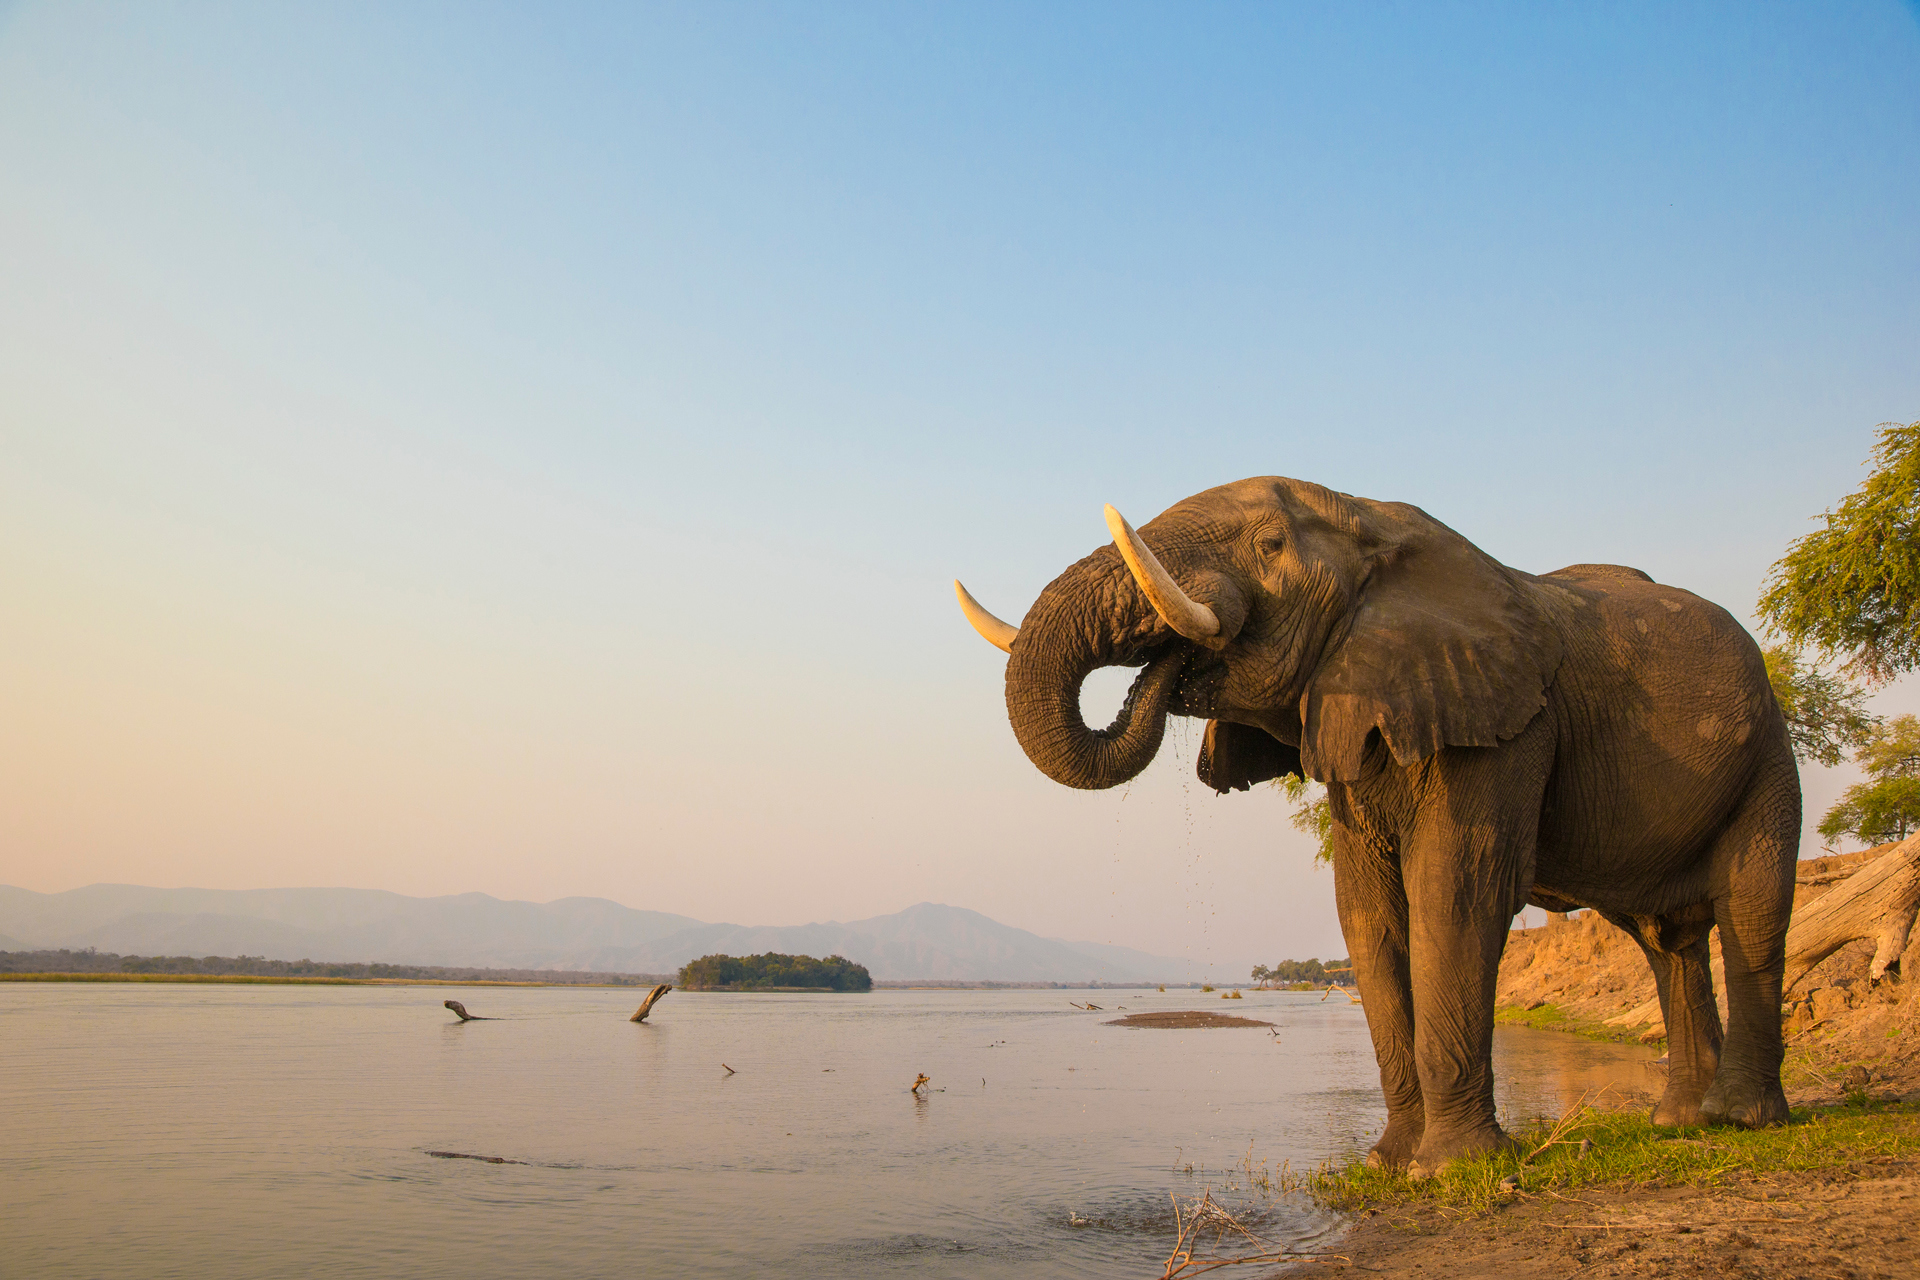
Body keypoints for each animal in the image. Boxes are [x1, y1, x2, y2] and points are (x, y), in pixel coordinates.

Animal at [955, 477, 1798, 1176]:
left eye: (1269, 545)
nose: (1171, 666)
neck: (1373, 523)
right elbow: (1367, 914)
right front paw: (1389, 1163)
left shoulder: (1505, 725)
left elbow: (1455, 893)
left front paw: (1449, 1169)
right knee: (1666, 940)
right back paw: (1679, 1123)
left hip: (1767, 751)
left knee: (1751, 909)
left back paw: (1741, 1120)